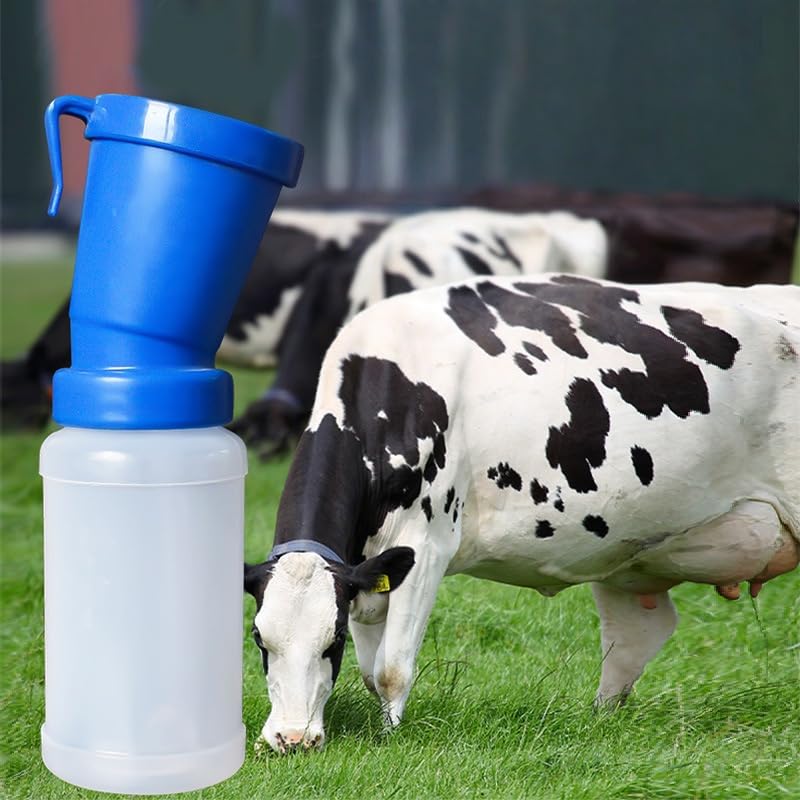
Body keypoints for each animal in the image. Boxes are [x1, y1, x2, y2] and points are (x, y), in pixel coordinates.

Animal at [244, 274, 799, 753]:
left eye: (330, 641)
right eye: (258, 638)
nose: (292, 739)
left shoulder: (426, 545)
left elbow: (390, 669)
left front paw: (390, 739)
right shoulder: (367, 566)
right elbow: (368, 669)